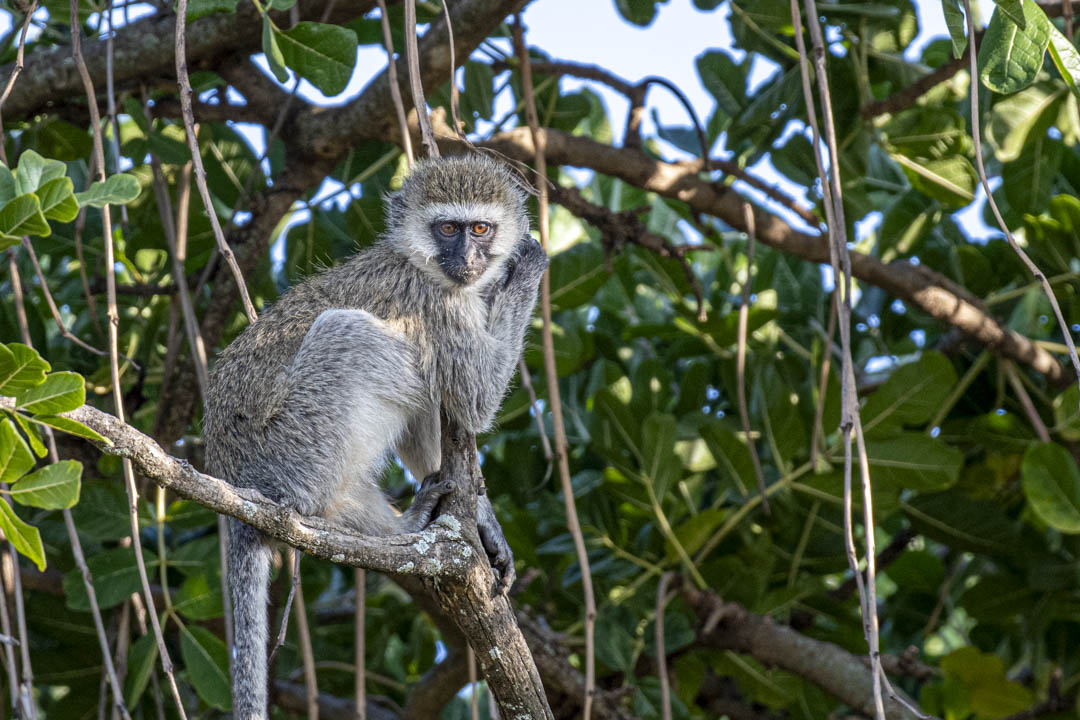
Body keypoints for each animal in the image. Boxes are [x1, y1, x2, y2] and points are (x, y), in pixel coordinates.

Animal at [202, 153, 548, 718]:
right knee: (354, 337)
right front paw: (530, 264)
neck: (424, 265)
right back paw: (390, 526)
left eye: (479, 229)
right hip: (295, 449)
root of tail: (233, 481)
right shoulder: (438, 303)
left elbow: (446, 410)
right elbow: (473, 399)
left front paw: (483, 520)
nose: (466, 258)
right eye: (447, 229)